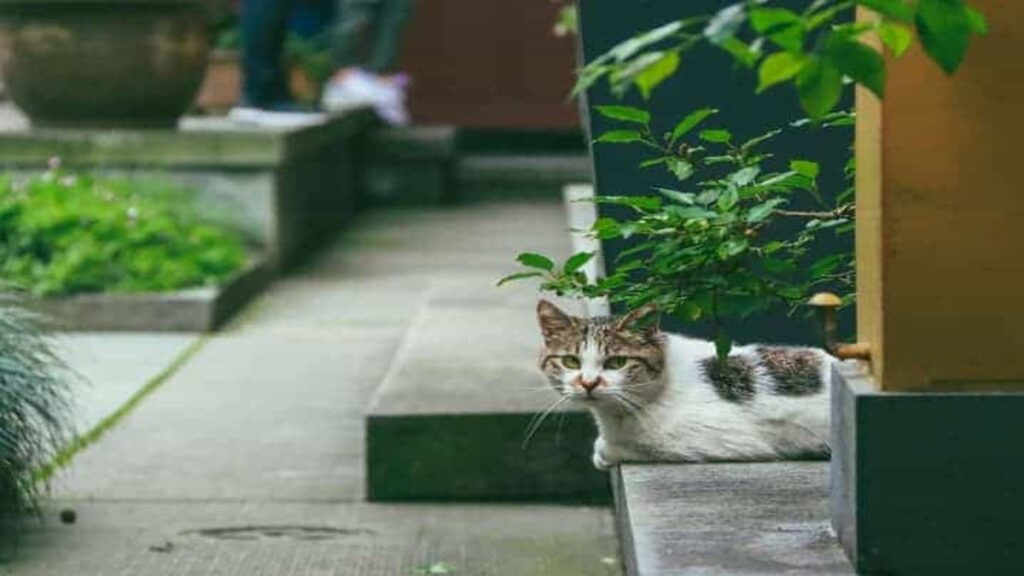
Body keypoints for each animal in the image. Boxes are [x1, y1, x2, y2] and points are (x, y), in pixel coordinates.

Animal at [536, 297, 831, 469]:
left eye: (617, 362)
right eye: (571, 361)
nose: (588, 383)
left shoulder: (726, 439)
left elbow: (640, 445)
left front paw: (605, 450)